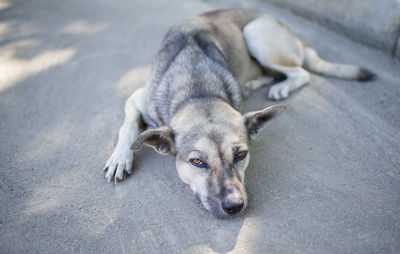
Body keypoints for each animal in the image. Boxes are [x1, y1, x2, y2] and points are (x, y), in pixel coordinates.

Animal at [102, 8, 372, 217]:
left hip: (255, 34)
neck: (198, 90)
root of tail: (290, 32)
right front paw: (120, 157)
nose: (234, 205)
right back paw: (255, 84)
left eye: (241, 154)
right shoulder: (137, 96)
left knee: (301, 72)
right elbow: (127, 126)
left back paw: (280, 86)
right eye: (197, 162)